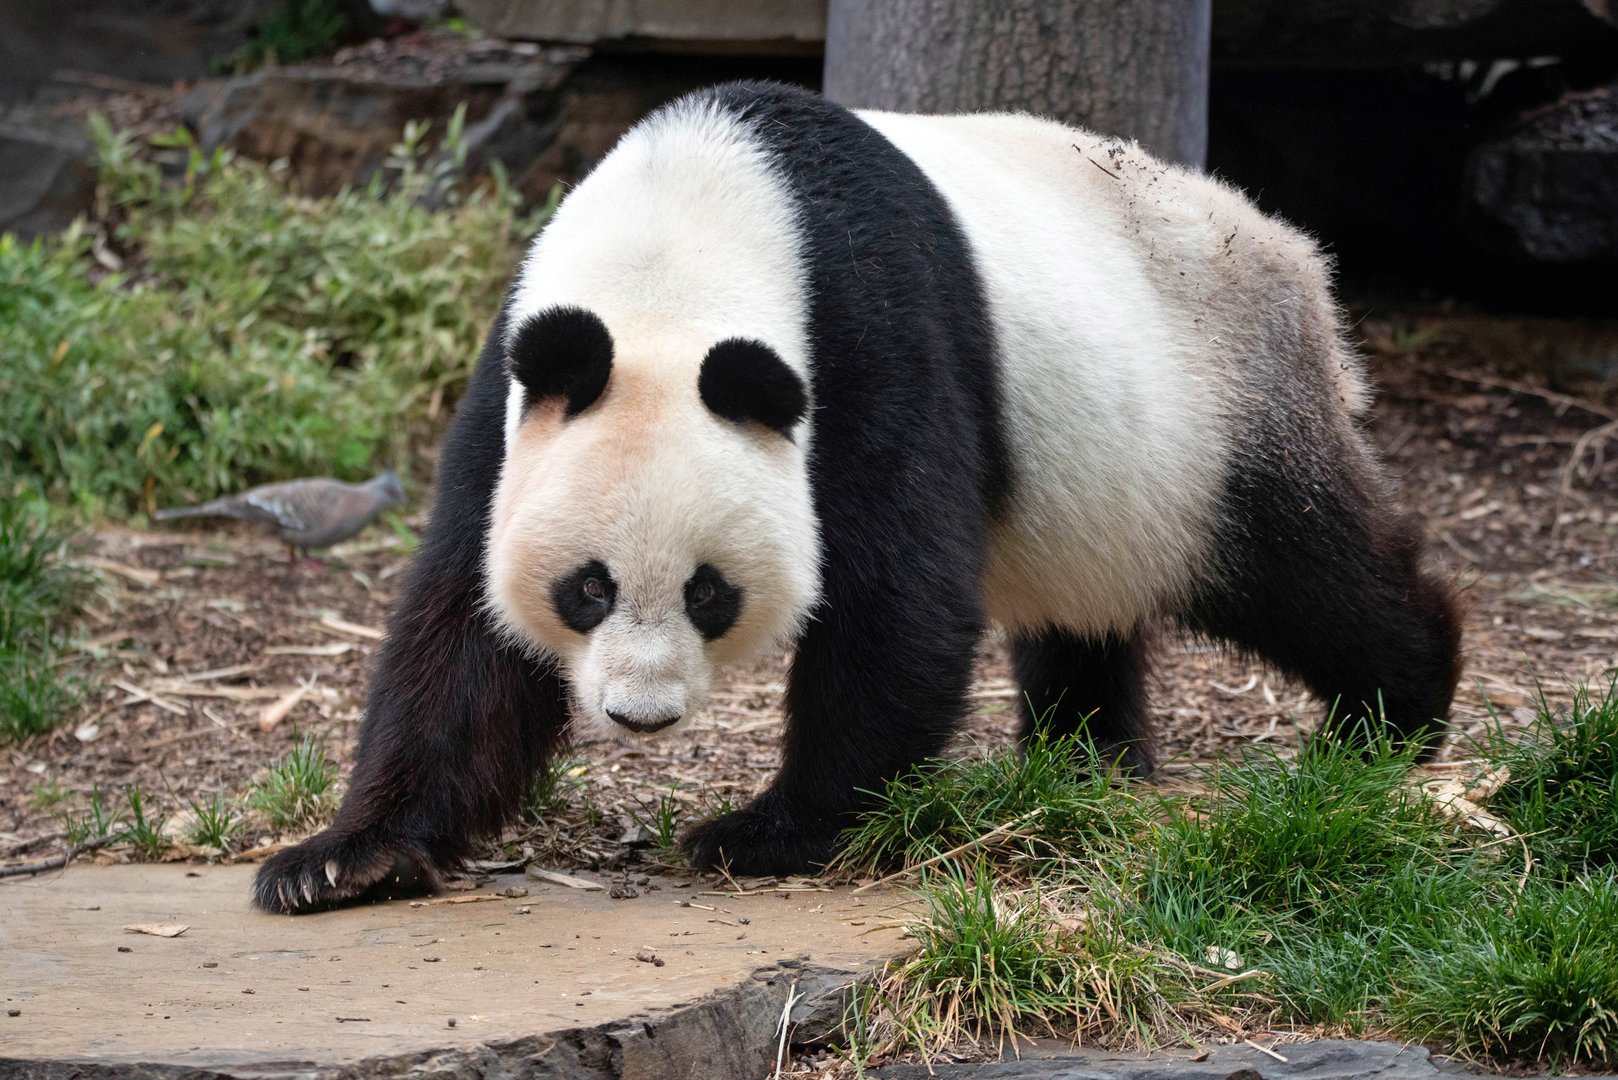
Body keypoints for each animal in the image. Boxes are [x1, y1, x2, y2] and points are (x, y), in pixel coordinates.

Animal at [254, 82, 1461, 915]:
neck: (692, 225)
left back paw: (1389, 719)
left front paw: (765, 832)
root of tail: (1293, 252)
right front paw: (342, 860)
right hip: (1105, 478)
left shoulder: (870, 325)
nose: (641, 718)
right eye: (586, 589)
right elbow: (462, 616)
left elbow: (897, 593)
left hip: (1216, 408)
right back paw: (1082, 762)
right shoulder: (517, 375)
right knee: (1085, 610)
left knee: (1301, 567)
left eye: (707, 593)